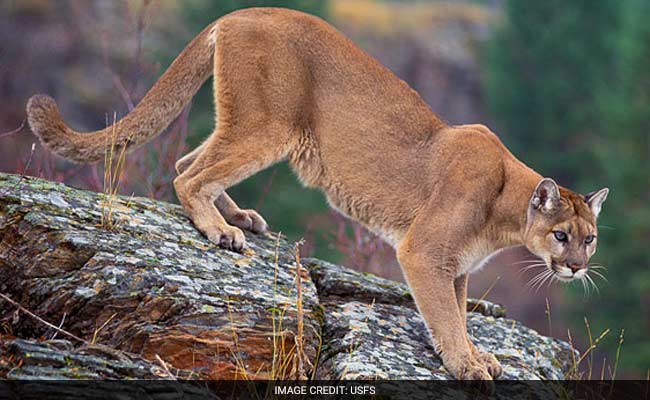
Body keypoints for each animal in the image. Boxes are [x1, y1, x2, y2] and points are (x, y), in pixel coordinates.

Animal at [25, 7, 604, 380]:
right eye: (561, 235)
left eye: (590, 238)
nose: (577, 267)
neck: (505, 210)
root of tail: (240, 12)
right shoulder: (423, 252)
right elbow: (445, 316)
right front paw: (466, 364)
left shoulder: (456, 266)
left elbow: (457, 314)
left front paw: (474, 355)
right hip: (268, 124)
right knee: (189, 174)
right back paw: (221, 231)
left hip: (254, 125)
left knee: (188, 161)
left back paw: (240, 218)